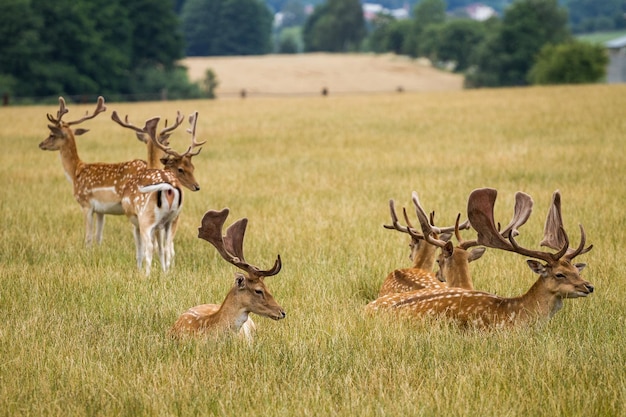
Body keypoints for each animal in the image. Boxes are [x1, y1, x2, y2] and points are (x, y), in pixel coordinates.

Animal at [119, 112, 202, 274]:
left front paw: (139, 270)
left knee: (150, 247)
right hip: (172, 218)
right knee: (167, 246)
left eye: (192, 167)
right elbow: (164, 248)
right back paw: (166, 272)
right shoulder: (164, 224)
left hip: (146, 217)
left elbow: (142, 249)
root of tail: (168, 186)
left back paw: (146, 275)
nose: (197, 186)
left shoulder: (137, 222)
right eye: (182, 169)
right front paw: (166, 269)